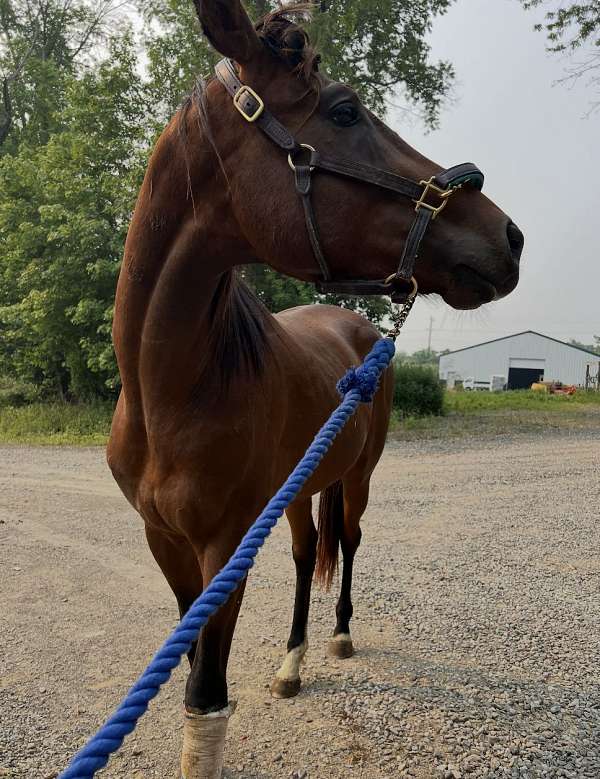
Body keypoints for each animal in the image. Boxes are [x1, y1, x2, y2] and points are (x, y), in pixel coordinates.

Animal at [107, 3, 523, 776]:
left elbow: (205, 693)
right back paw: (293, 662)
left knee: (349, 541)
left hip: (357, 475)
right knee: (306, 557)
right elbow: (191, 663)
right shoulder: (167, 542)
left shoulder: (225, 544)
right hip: (299, 491)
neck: (170, 394)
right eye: (344, 110)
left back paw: (338, 636)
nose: (508, 237)